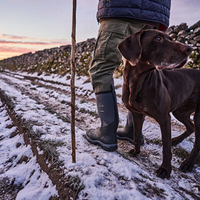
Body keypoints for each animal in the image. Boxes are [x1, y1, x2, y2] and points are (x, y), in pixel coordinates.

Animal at [117, 29, 200, 178]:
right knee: (190, 127)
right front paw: (136, 152)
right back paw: (176, 140)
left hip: (197, 115)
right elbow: (136, 135)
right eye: (158, 38)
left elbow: (165, 148)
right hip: (180, 110)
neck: (138, 81)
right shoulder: (137, 114)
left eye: (170, 38)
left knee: (197, 141)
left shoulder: (164, 118)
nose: (189, 49)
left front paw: (165, 169)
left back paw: (189, 163)